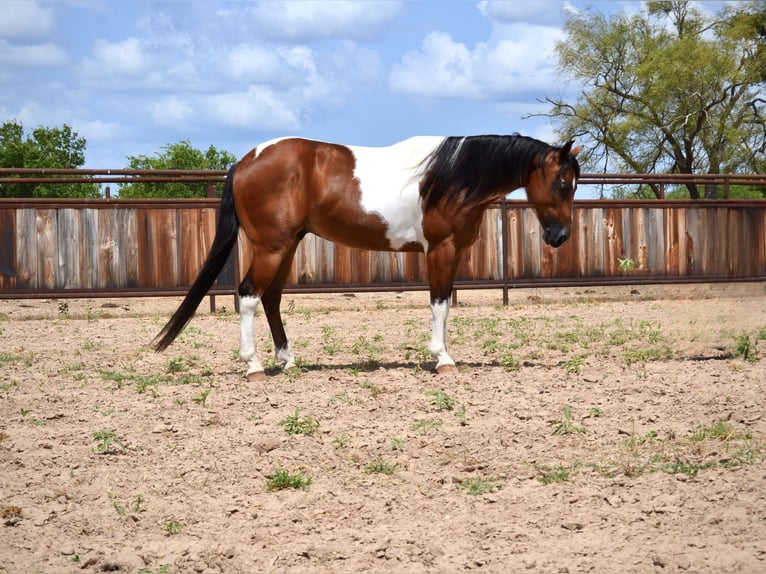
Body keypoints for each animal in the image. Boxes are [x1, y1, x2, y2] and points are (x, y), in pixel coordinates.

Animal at [153, 134, 584, 378]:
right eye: (563, 182)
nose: (560, 236)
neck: (452, 177)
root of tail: (246, 161)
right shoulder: (440, 249)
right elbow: (439, 303)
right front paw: (443, 358)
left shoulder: (454, 252)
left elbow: (444, 304)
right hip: (271, 248)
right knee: (247, 296)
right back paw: (254, 365)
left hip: (287, 246)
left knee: (271, 298)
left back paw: (288, 361)